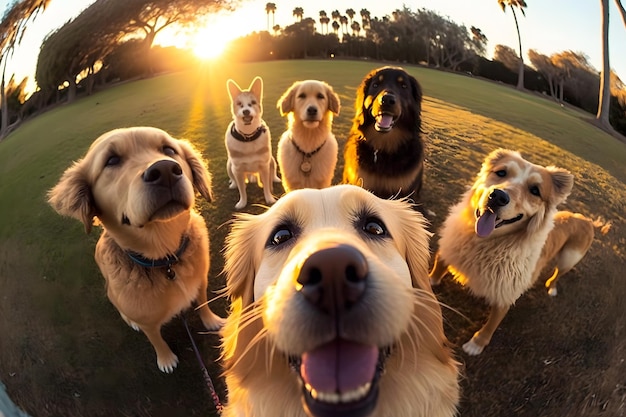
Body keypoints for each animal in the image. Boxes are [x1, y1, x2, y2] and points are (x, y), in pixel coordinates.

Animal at [49, 126, 224, 370]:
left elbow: (202, 303)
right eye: (112, 160)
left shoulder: (200, 282)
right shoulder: (148, 321)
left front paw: (211, 321)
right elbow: (156, 338)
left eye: (169, 150)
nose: (166, 170)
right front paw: (166, 359)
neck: (166, 259)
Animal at [428, 149, 596, 354]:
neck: (486, 242)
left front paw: (476, 344)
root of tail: (585, 219)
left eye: (535, 190)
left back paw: (552, 288)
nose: (497, 196)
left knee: (558, 273)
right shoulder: (449, 249)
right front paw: (429, 282)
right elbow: (438, 268)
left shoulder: (506, 294)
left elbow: (491, 324)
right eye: (501, 173)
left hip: (569, 258)